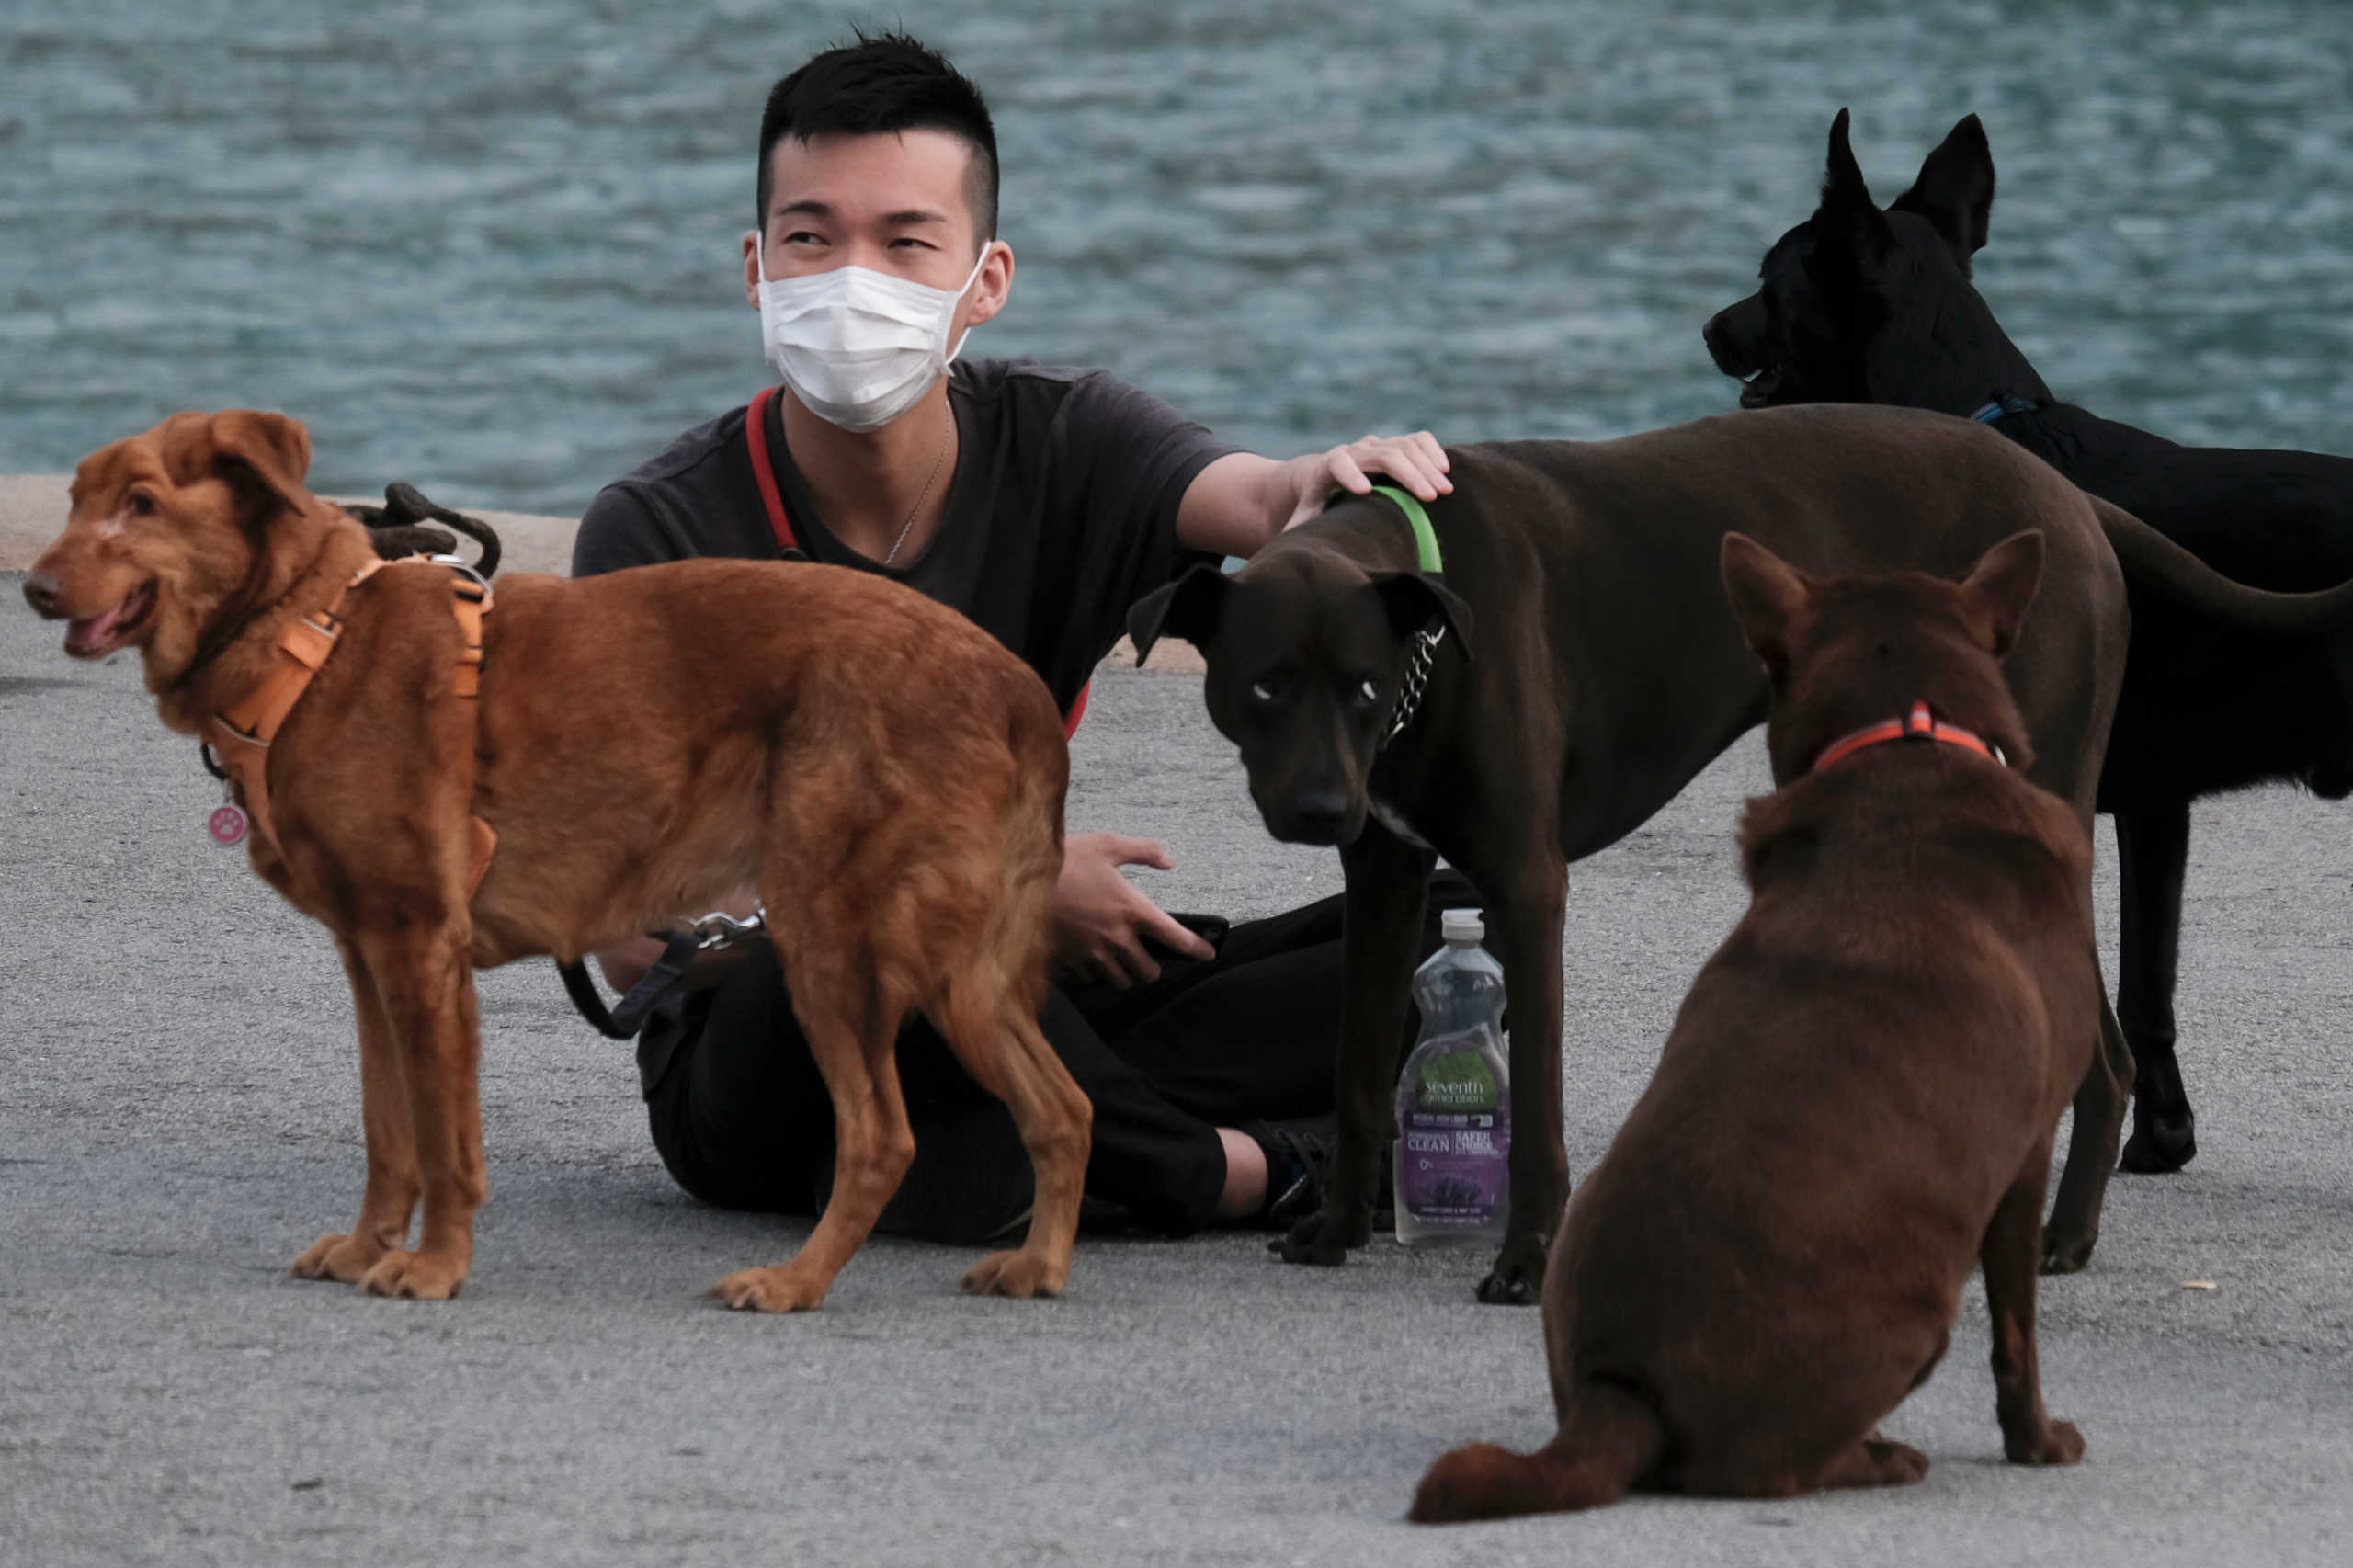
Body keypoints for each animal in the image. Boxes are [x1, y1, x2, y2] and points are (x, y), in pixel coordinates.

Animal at [22, 412, 1086, 1309]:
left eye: (141, 504)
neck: (310, 638)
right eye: (74, 500)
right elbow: (386, 1129)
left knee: (880, 1137)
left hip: (833, 943)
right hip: (964, 976)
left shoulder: (422, 948)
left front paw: (434, 1266)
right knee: (1060, 1107)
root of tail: (1014, 688)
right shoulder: (371, 956)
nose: (33, 588)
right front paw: (370, 1248)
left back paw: (795, 1282)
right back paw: (1037, 1265)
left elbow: (443, 1140)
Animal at [1412, 527, 2098, 1516]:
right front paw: (2037, 1442)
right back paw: (1880, 1455)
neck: (1905, 741)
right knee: (1772, 1468)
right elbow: (2017, 1334)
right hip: (1916, 1311)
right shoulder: (2027, 1151)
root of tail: (1624, 1387)